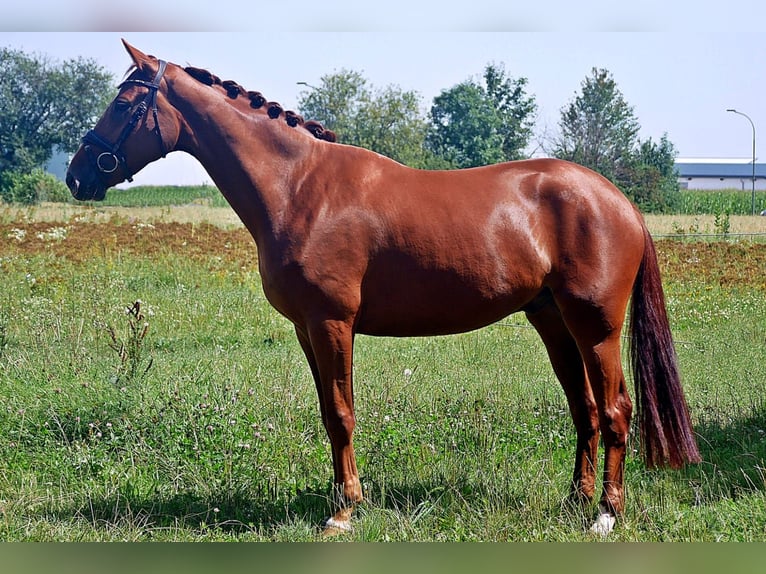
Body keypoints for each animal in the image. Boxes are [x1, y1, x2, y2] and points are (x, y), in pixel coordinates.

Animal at [66, 40, 701, 536]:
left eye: (125, 103)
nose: (77, 175)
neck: (299, 187)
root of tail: (619, 200)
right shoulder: (307, 330)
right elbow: (329, 412)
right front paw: (338, 498)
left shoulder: (332, 323)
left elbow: (343, 413)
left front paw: (344, 512)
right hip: (552, 321)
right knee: (586, 409)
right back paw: (575, 502)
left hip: (596, 326)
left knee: (616, 409)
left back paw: (605, 515)